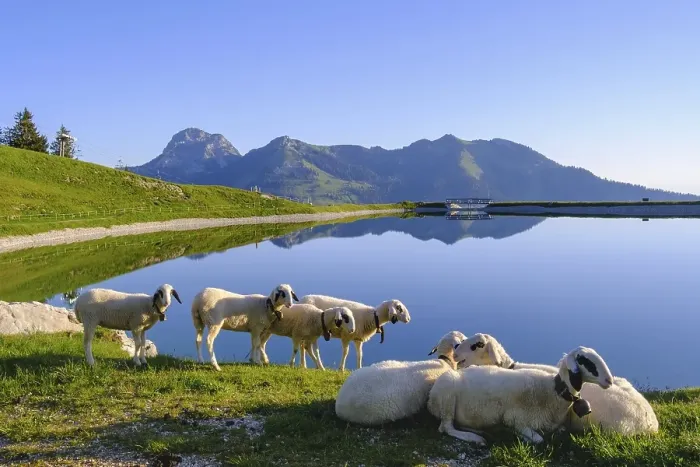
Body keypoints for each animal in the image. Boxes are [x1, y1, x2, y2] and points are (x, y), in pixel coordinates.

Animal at [427, 344, 614, 445]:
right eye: (584, 360)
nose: (609, 380)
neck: (552, 391)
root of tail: (430, 401)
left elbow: (559, 431)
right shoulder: (516, 419)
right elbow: (539, 439)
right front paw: (518, 435)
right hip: (446, 396)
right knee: (446, 427)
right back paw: (474, 438)